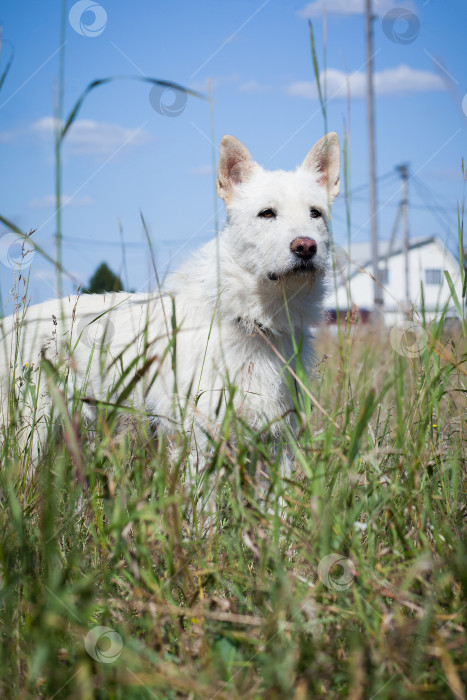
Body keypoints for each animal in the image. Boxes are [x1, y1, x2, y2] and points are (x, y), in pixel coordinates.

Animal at [1, 133, 342, 468]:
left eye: (315, 213)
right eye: (267, 213)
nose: (305, 247)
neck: (253, 320)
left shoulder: (277, 440)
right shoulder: (198, 442)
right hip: (30, 437)